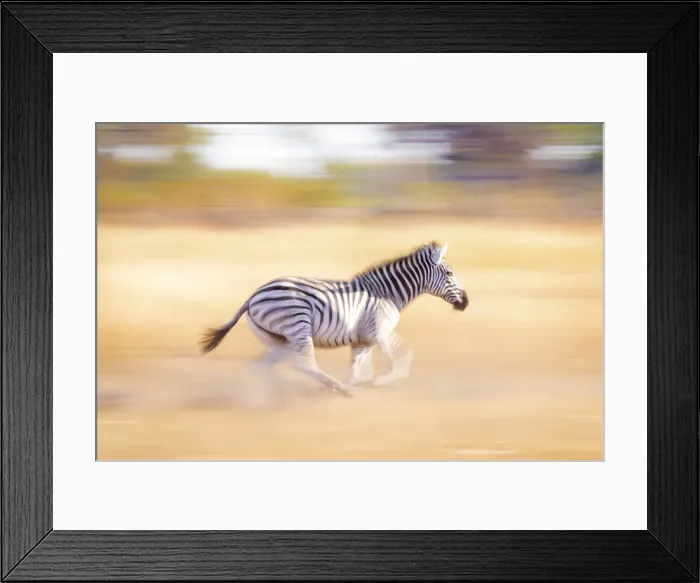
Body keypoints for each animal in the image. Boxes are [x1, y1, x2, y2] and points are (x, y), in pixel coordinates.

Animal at [199, 241, 468, 397]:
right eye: (449, 273)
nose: (465, 302)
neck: (387, 294)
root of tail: (253, 295)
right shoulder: (380, 331)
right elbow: (403, 357)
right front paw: (381, 382)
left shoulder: (363, 341)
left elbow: (358, 370)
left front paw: (361, 383)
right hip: (298, 324)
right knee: (304, 365)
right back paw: (338, 388)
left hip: (277, 340)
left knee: (260, 366)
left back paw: (270, 395)